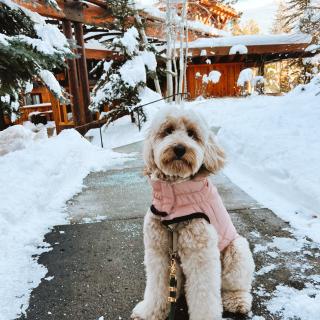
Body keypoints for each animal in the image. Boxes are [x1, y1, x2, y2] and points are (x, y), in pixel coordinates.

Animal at [131, 107, 254, 320]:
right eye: (168, 131)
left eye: (192, 134)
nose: (180, 148)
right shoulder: (158, 253)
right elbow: (156, 287)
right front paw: (149, 312)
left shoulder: (200, 254)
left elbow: (204, 297)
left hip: (237, 250)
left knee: (234, 286)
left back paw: (237, 300)